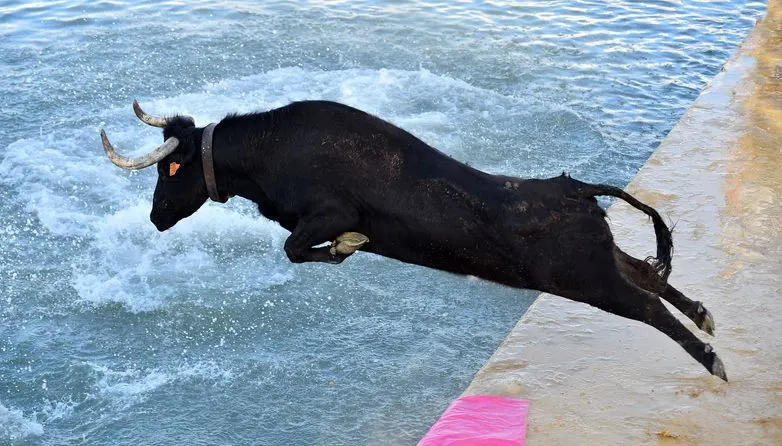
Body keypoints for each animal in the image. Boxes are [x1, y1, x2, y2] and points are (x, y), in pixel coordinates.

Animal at [102, 98, 728, 380]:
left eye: (170, 171)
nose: (155, 219)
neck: (272, 151)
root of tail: (573, 190)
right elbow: (295, 251)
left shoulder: (325, 213)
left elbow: (298, 247)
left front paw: (351, 244)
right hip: (596, 261)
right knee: (645, 271)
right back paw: (704, 314)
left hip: (587, 279)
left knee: (645, 302)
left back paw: (713, 358)